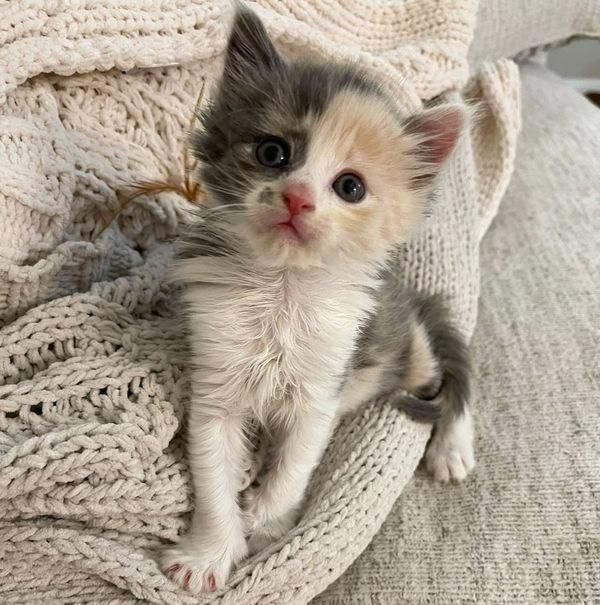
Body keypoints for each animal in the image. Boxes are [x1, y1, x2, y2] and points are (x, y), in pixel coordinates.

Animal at [162, 7, 476, 592]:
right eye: (273, 153)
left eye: (350, 187)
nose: (298, 198)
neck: (282, 287)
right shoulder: (215, 379)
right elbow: (213, 474)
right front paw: (208, 555)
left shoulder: (323, 385)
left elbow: (295, 464)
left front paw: (266, 516)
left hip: (405, 352)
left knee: (451, 376)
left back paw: (452, 447)